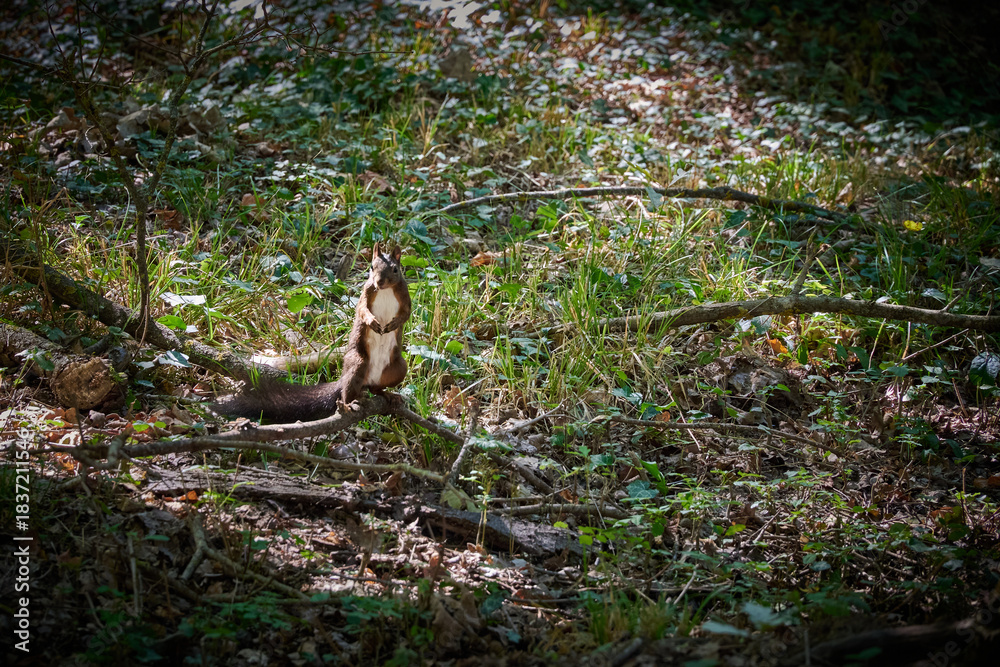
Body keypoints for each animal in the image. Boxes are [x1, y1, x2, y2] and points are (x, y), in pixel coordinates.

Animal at [213, 242, 411, 422]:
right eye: (371, 267)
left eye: (395, 269)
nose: (379, 282)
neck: (385, 291)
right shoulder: (366, 293)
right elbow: (362, 310)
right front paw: (372, 321)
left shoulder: (404, 294)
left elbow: (406, 313)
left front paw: (394, 323)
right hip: (357, 363)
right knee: (346, 392)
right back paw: (349, 403)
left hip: (399, 368)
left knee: (375, 388)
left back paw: (388, 394)